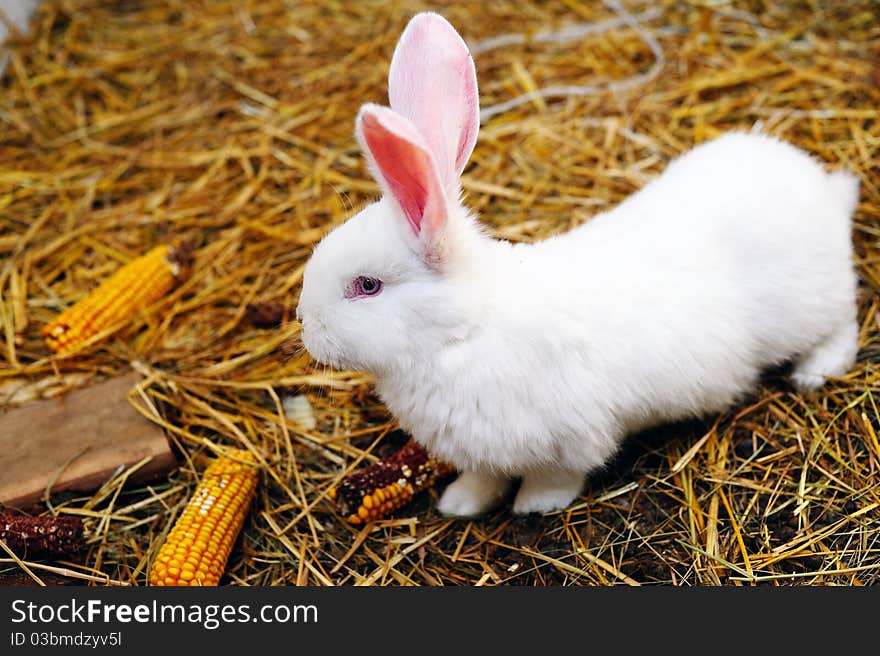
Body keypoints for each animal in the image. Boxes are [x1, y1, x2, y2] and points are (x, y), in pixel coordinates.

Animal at [296, 9, 860, 512]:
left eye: (367, 286)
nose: (305, 324)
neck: (463, 333)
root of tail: (823, 192)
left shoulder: (573, 437)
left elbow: (557, 476)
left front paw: (533, 507)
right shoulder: (482, 455)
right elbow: (482, 481)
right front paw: (458, 505)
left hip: (811, 307)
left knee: (844, 323)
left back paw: (814, 372)